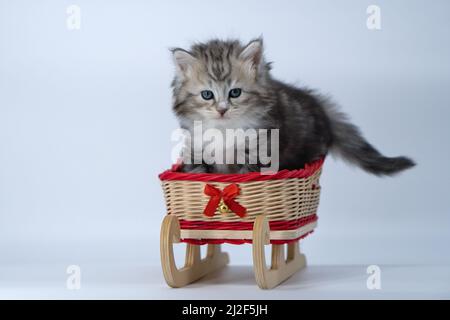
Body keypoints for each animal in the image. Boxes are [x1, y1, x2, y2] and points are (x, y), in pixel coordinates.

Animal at [170, 38, 414, 176]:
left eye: (235, 93)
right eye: (207, 95)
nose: (222, 110)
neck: (224, 130)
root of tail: (321, 107)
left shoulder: (260, 152)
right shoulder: (195, 151)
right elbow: (198, 172)